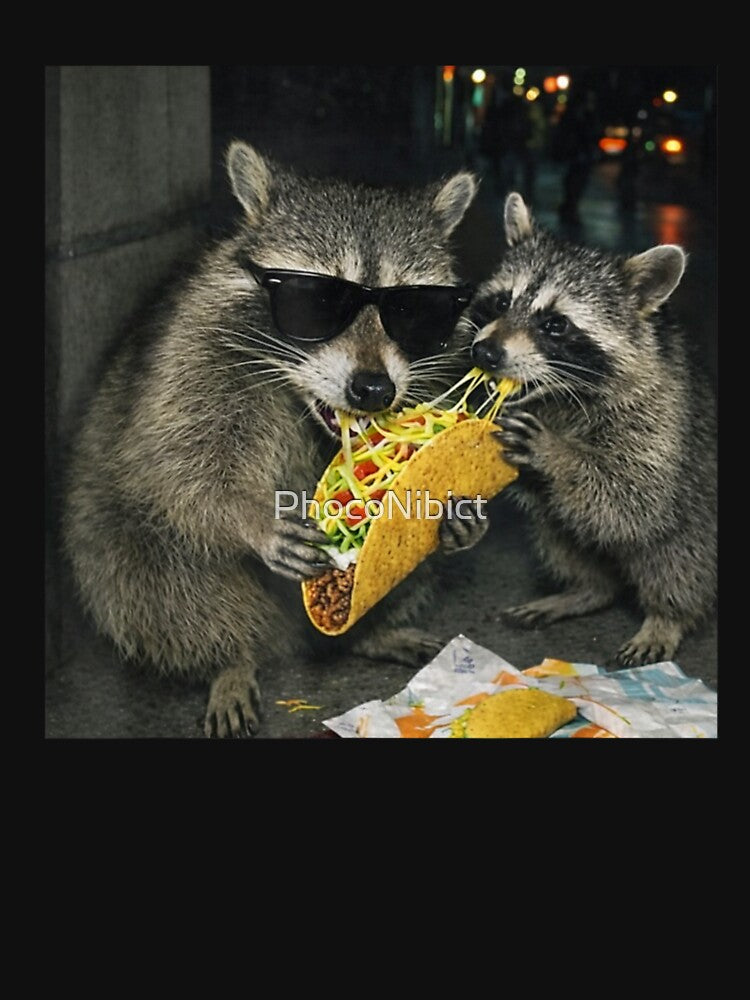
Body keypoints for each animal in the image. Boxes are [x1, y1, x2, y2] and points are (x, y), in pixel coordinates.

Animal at [63, 142, 481, 737]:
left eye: (413, 311)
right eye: (317, 301)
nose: (374, 389)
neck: (304, 402)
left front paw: (456, 511)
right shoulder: (194, 358)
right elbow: (184, 465)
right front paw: (249, 516)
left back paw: (370, 630)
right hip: (109, 535)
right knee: (157, 581)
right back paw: (233, 659)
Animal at [464, 192, 716, 666]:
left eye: (555, 324)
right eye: (502, 302)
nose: (485, 353)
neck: (561, 397)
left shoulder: (660, 417)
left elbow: (634, 496)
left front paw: (556, 454)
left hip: (700, 504)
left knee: (675, 552)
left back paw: (666, 616)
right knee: (558, 529)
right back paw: (587, 590)